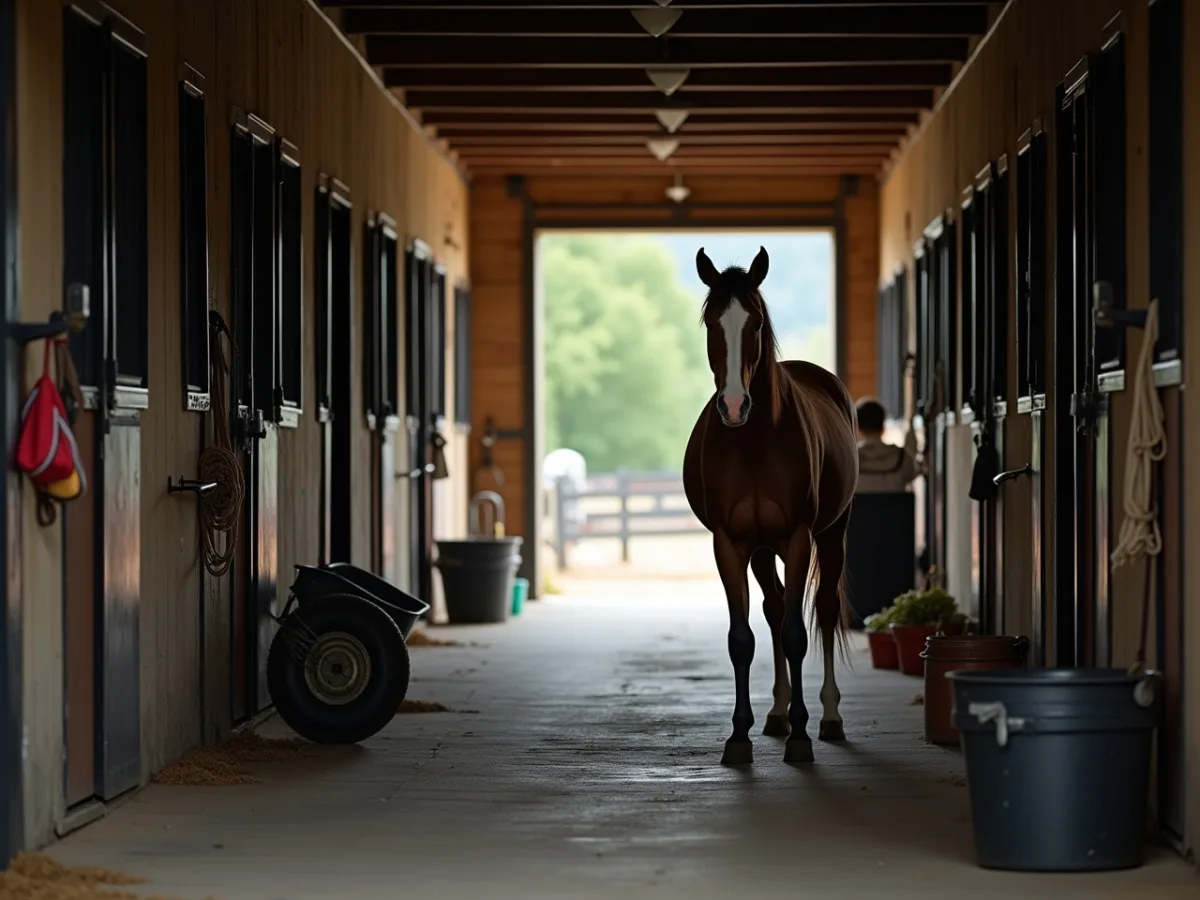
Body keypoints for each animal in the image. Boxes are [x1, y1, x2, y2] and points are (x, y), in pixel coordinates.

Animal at [681, 246, 859, 766]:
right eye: (711, 322)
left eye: (756, 322)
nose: (734, 406)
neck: (755, 444)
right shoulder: (730, 544)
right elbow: (743, 639)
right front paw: (739, 736)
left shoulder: (799, 538)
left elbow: (798, 634)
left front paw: (802, 737)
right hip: (762, 551)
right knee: (775, 607)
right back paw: (778, 713)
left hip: (831, 535)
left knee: (821, 610)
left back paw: (828, 717)